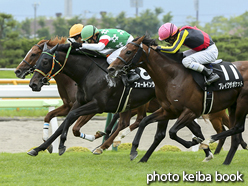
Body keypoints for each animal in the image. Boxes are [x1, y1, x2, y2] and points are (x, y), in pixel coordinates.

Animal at [108, 35, 248, 164]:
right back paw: (226, 161)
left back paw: (209, 140)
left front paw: (195, 142)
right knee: (235, 133)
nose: (111, 68)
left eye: (128, 51)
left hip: (241, 103)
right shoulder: (168, 111)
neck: (173, 76)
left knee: (237, 127)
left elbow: (172, 132)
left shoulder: (190, 112)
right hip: (233, 105)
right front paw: (133, 151)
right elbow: (144, 122)